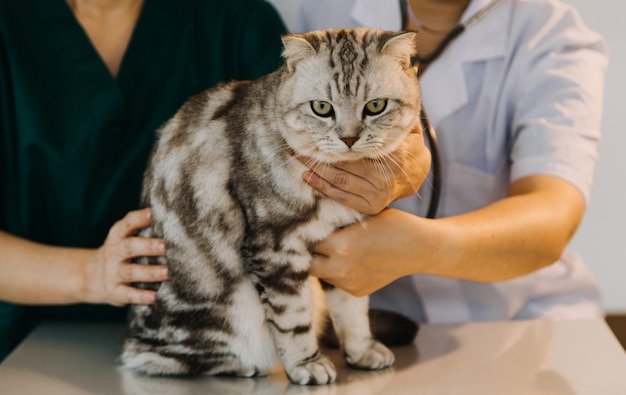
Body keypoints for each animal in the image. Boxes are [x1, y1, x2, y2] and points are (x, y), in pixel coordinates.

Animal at [119, 27, 422, 386]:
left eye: (375, 106)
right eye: (322, 108)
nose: (349, 138)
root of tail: (134, 333)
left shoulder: (348, 252)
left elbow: (352, 306)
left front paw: (362, 350)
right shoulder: (276, 249)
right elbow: (293, 319)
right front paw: (307, 364)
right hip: (218, 311)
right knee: (154, 358)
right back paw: (243, 366)